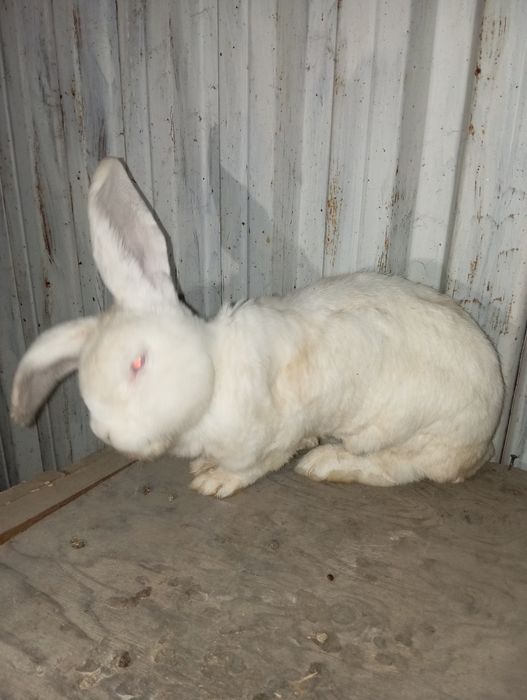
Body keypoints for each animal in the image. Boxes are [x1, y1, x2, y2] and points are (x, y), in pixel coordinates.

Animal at [11, 158, 504, 498]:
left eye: (138, 362)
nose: (109, 435)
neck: (214, 376)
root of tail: (484, 443)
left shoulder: (270, 438)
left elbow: (256, 465)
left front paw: (213, 481)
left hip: (407, 430)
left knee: (397, 468)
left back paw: (324, 463)